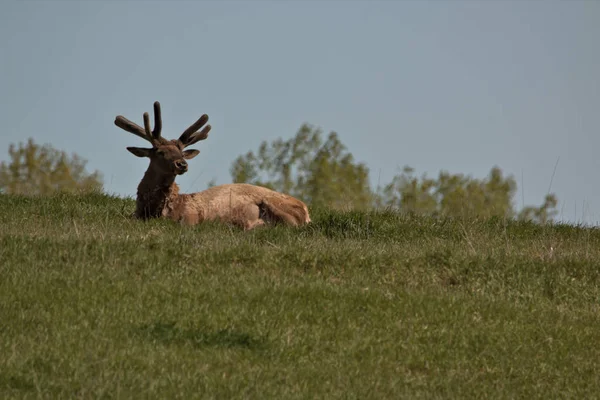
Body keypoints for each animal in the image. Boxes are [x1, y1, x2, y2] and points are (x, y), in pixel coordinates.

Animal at [113, 101, 312, 230]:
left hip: (275, 206)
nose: (182, 164)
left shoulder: (190, 219)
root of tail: (307, 212)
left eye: (181, 153)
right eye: (161, 152)